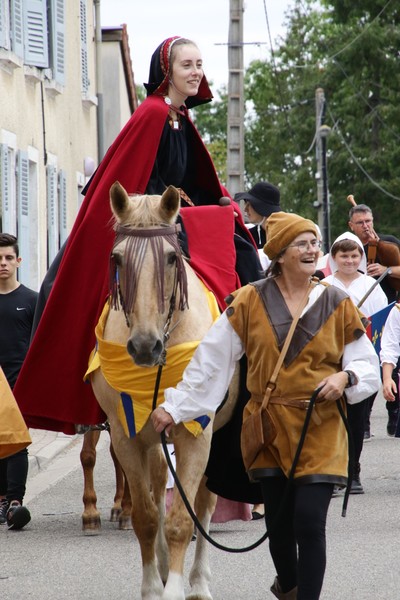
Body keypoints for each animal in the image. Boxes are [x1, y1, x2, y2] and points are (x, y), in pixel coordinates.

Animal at [85, 183, 238, 600]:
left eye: (171, 258)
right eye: (117, 258)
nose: (144, 347)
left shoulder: (196, 435)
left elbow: (183, 519)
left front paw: (177, 587)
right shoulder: (127, 436)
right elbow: (146, 516)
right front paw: (154, 586)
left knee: (204, 503)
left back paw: (197, 581)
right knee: (157, 490)